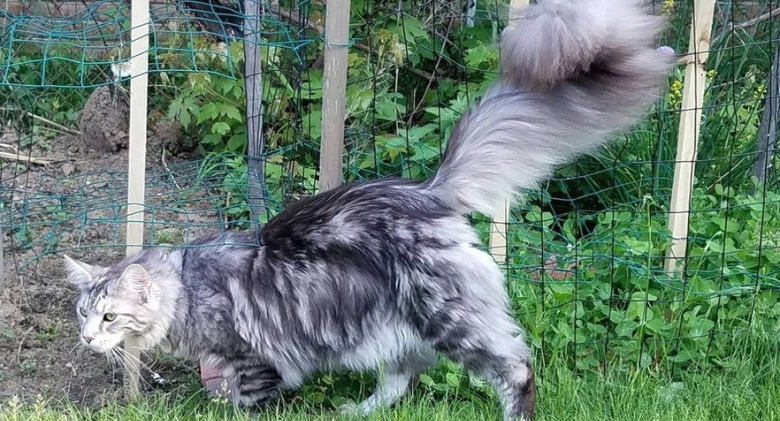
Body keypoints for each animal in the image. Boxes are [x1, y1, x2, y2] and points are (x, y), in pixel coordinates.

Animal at [62, 1, 672, 418]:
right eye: (82, 314)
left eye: (109, 316)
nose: (87, 339)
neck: (187, 286)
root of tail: (428, 189)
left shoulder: (253, 359)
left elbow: (244, 399)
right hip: (395, 324)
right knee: (403, 378)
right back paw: (356, 412)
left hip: (448, 317)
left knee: (515, 367)